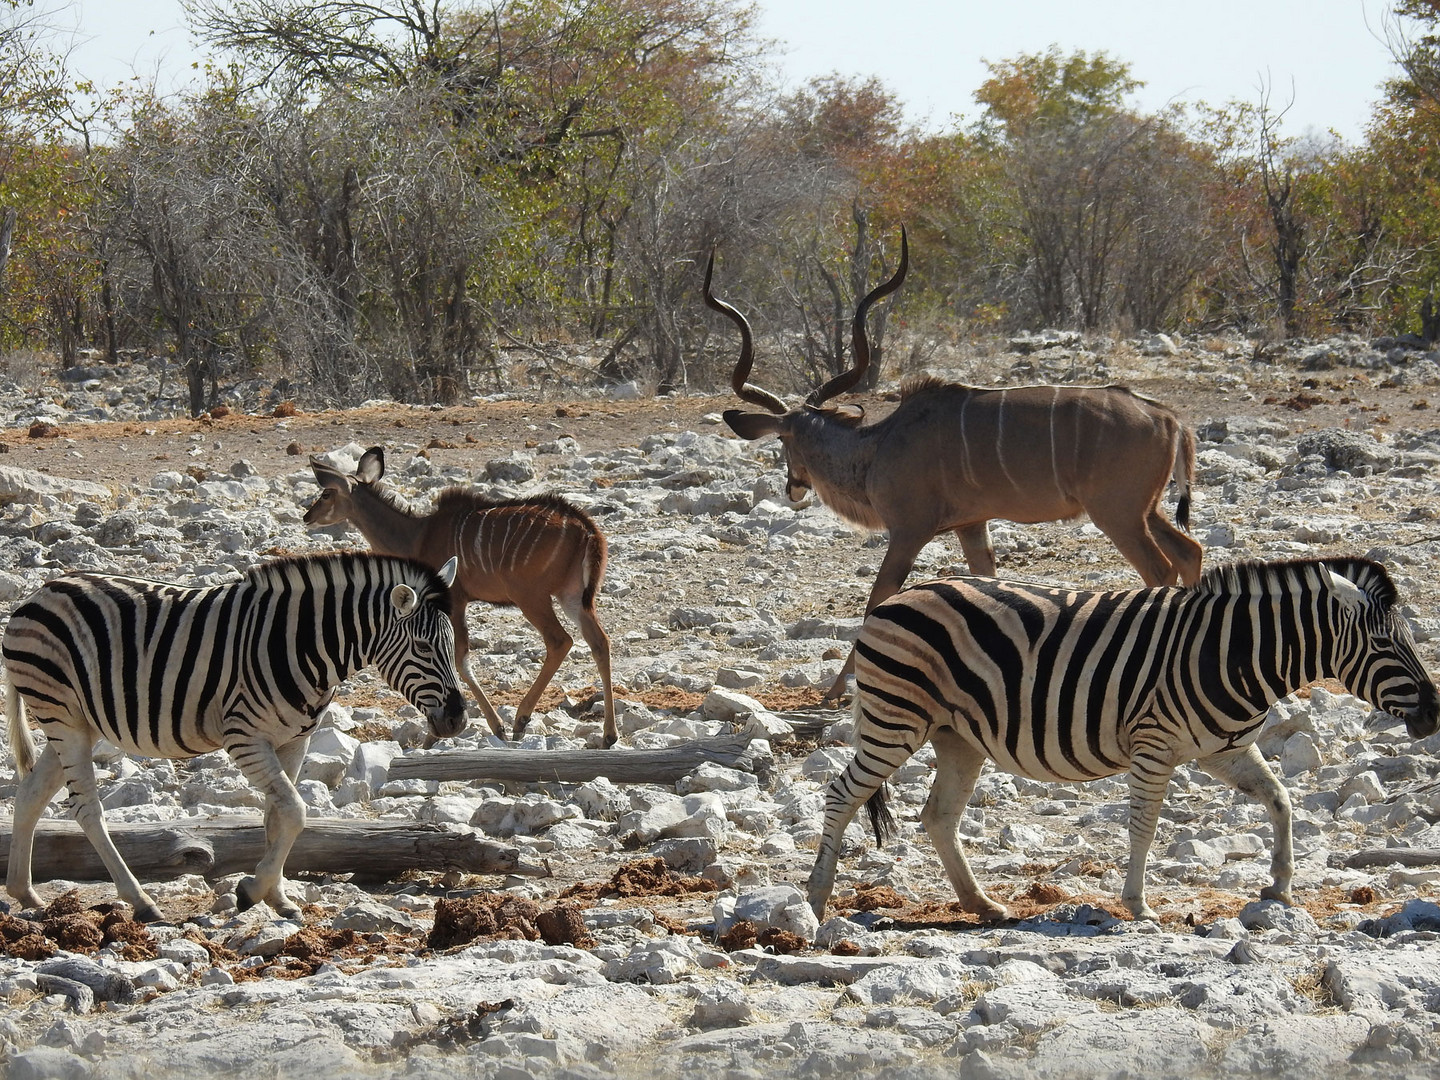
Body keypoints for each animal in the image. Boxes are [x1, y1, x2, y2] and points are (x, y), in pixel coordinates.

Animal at [2, 558, 463, 921]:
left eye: (455, 643)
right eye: (423, 646)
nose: (458, 720)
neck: (304, 645)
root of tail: (40, 591)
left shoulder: (295, 741)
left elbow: (277, 817)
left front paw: (277, 898)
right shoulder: (244, 738)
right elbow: (296, 812)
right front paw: (251, 891)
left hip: (76, 721)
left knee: (31, 795)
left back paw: (25, 892)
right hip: (61, 713)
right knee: (86, 809)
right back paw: (141, 902)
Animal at [306, 449, 616, 743]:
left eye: (326, 493)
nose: (307, 516)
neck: (417, 534)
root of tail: (587, 530)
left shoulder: (453, 600)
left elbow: (460, 658)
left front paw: (480, 729)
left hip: (532, 597)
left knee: (560, 641)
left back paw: (520, 721)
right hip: (572, 597)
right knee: (599, 642)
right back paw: (608, 736)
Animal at [702, 228, 1198, 702]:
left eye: (782, 441)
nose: (793, 487)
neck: (877, 446)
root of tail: (1168, 417)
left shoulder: (909, 530)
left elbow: (877, 600)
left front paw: (834, 692)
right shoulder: (972, 525)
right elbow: (989, 584)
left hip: (1117, 514)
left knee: (1159, 569)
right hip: (1145, 510)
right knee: (1189, 551)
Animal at [812, 561, 1440, 927]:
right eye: (1386, 646)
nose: (1435, 714)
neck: (1237, 654)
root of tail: (894, 599)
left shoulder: (1225, 749)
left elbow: (1281, 799)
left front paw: (1281, 886)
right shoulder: (1154, 744)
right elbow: (1144, 824)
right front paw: (1138, 905)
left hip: (957, 737)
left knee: (939, 816)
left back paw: (982, 905)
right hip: (897, 719)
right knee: (841, 795)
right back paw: (815, 901)